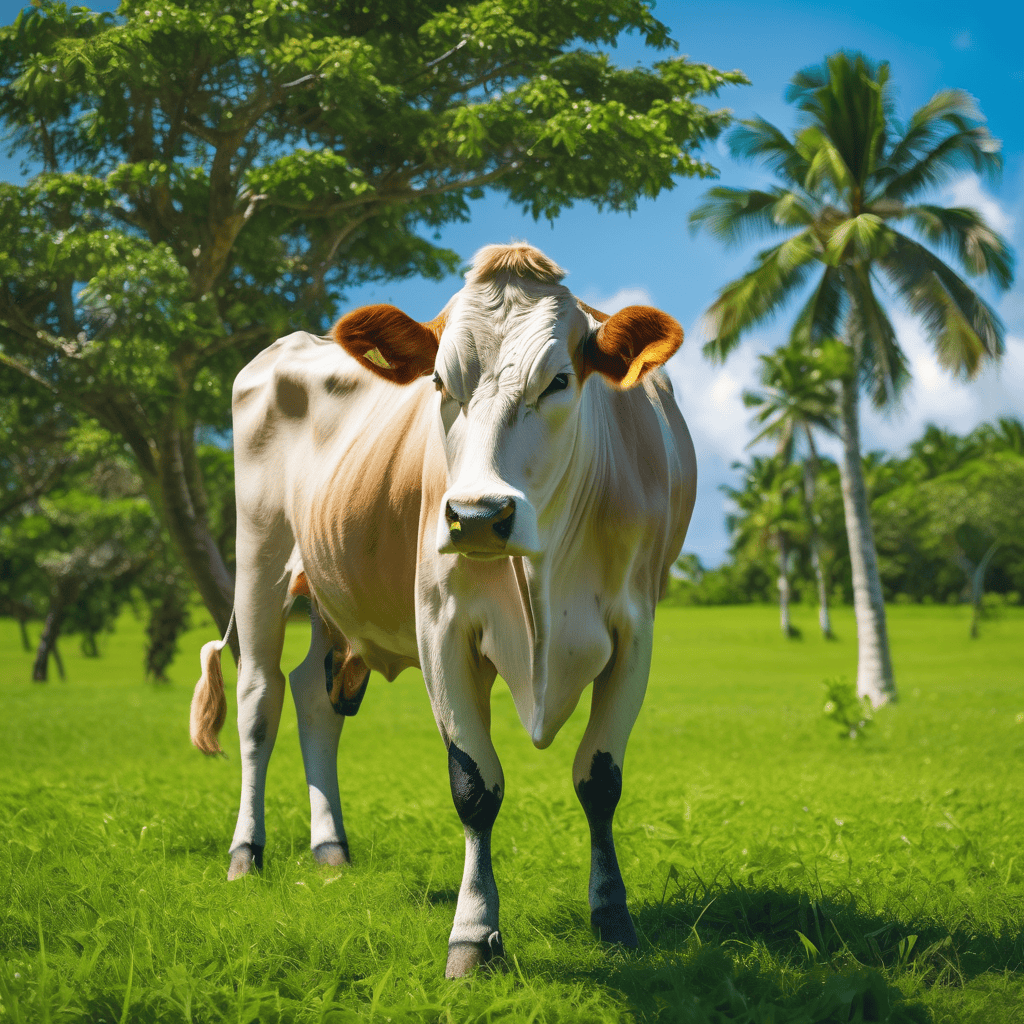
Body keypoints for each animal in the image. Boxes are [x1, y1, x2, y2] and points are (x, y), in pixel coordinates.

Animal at [190, 242, 696, 977]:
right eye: (437, 381)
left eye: (559, 380)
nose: (477, 515)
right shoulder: (442, 625)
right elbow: (474, 785)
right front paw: (472, 934)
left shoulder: (637, 632)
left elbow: (599, 781)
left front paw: (612, 916)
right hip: (259, 559)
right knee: (260, 703)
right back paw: (245, 854)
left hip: (330, 597)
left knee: (314, 700)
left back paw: (331, 850)